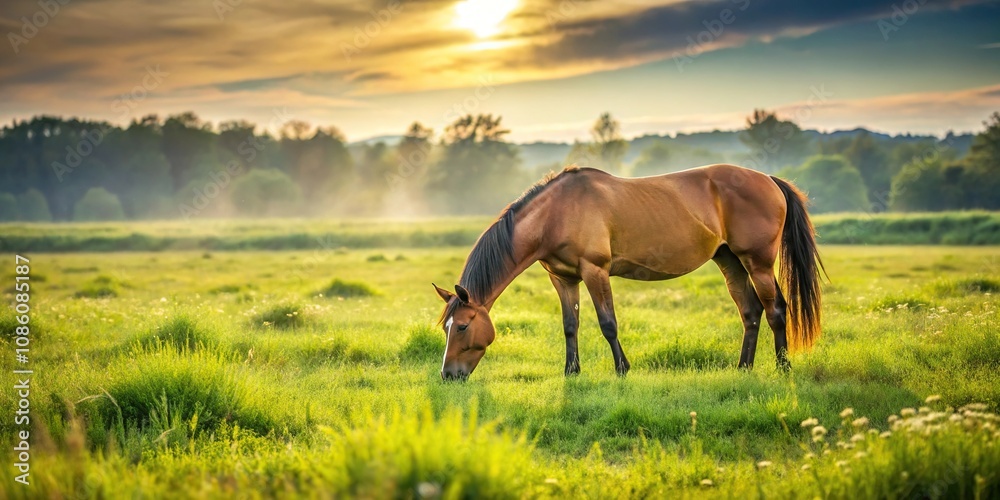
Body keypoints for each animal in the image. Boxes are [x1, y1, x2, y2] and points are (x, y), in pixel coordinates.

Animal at [433, 164, 824, 381]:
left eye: (463, 326)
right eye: (446, 327)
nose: (448, 375)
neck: (556, 213)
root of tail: (769, 180)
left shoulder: (595, 271)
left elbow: (608, 323)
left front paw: (622, 370)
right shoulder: (563, 278)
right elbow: (570, 325)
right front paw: (571, 372)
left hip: (757, 262)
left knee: (776, 310)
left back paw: (783, 368)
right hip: (729, 261)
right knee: (751, 312)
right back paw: (743, 369)